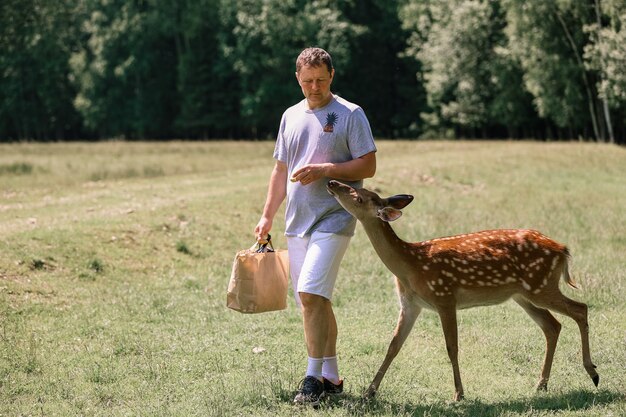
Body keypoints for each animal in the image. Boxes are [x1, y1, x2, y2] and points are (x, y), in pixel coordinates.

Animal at [324, 180, 596, 400]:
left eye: (360, 197)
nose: (332, 182)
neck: (411, 265)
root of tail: (562, 249)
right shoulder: (410, 304)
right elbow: (393, 346)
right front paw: (369, 392)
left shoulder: (444, 296)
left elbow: (451, 347)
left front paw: (458, 394)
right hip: (524, 294)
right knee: (553, 326)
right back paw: (541, 384)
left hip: (541, 285)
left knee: (580, 308)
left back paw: (592, 372)